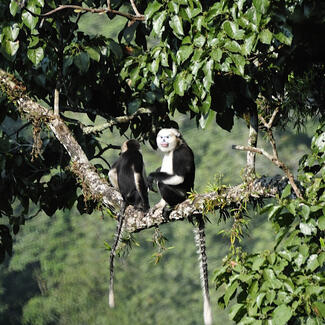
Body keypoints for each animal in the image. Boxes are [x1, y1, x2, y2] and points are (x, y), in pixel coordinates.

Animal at [147, 128, 213, 324]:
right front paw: (158, 206)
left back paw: (171, 206)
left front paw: (152, 175)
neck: (172, 149)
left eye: (167, 137)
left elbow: (177, 177)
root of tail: (192, 195)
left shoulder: (180, 153)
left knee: (164, 183)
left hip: (182, 196)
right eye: (161, 137)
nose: (163, 140)